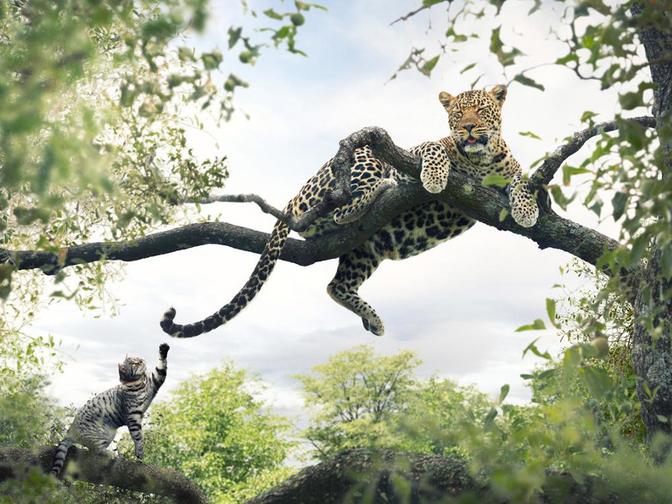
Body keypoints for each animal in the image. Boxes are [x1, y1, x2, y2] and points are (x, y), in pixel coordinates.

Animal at [160, 84, 539, 338]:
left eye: (482, 111)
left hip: (365, 250)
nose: (469, 128)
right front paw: (434, 178)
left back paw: (374, 319)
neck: (478, 160)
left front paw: (527, 211)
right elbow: (434, 149)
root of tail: (291, 200)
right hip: (361, 159)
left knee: (336, 285)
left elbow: (524, 180)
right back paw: (375, 192)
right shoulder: (415, 153)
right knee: (345, 204)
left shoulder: (510, 172)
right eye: (457, 114)